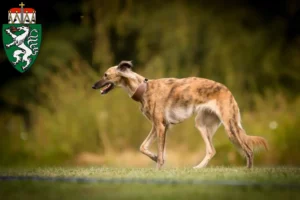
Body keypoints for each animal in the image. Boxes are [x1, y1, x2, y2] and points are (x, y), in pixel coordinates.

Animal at [91, 60, 268, 169]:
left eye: (106, 75)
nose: (93, 86)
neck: (144, 89)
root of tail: (228, 90)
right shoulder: (158, 126)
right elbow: (143, 147)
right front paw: (154, 157)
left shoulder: (161, 126)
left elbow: (160, 155)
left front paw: (158, 166)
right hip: (202, 124)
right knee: (211, 150)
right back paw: (198, 168)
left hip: (230, 127)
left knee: (249, 150)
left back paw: (248, 172)